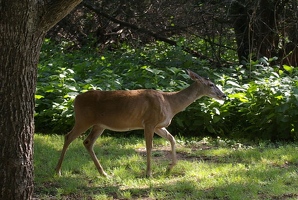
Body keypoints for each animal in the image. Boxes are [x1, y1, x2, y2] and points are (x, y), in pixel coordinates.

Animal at [54, 69, 226, 177]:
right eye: (211, 84)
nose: (223, 95)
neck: (170, 103)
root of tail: (75, 99)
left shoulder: (159, 125)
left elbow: (172, 139)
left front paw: (169, 168)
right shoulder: (149, 122)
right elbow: (149, 147)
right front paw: (149, 173)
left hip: (99, 124)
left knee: (87, 142)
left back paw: (104, 173)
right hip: (83, 119)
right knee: (68, 136)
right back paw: (58, 171)